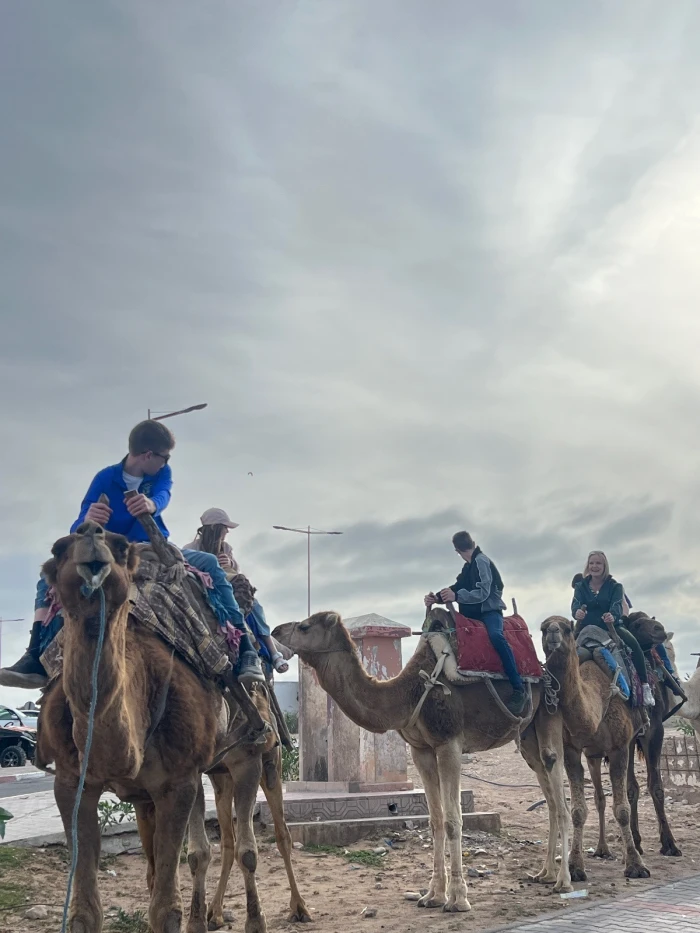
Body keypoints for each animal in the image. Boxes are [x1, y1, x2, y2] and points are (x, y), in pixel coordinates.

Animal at [34, 524, 268, 932]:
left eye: (121, 547)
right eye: (59, 548)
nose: (90, 536)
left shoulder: (178, 783)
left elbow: (166, 908)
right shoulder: (71, 782)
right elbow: (84, 911)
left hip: (246, 755)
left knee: (246, 848)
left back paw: (258, 921)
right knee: (188, 856)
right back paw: (205, 919)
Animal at [270, 604, 572, 912]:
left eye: (305, 626)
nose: (275, 631)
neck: (410, 693)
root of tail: (544, 672)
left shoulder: (449, 744)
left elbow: (453, 820)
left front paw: (458, 898)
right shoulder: (421, 750)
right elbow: (435, 820)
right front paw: (433, 895)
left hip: (550, 714)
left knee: (558, 791)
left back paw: (564, 881)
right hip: (527, 736)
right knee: (547, 794)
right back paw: (545, 874)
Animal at [540, 612, 680, 880]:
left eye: (566, 628)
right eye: (542, 628)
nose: (552, 632)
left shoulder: (618, 747)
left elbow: (622, 808)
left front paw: (635, 866)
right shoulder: (574, 751)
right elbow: (579, 810)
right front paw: (575, 866)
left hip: (650, 732)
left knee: (653, 784)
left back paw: (668, 845)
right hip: (602, 751)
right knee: (609, 794)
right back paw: (611, 847)